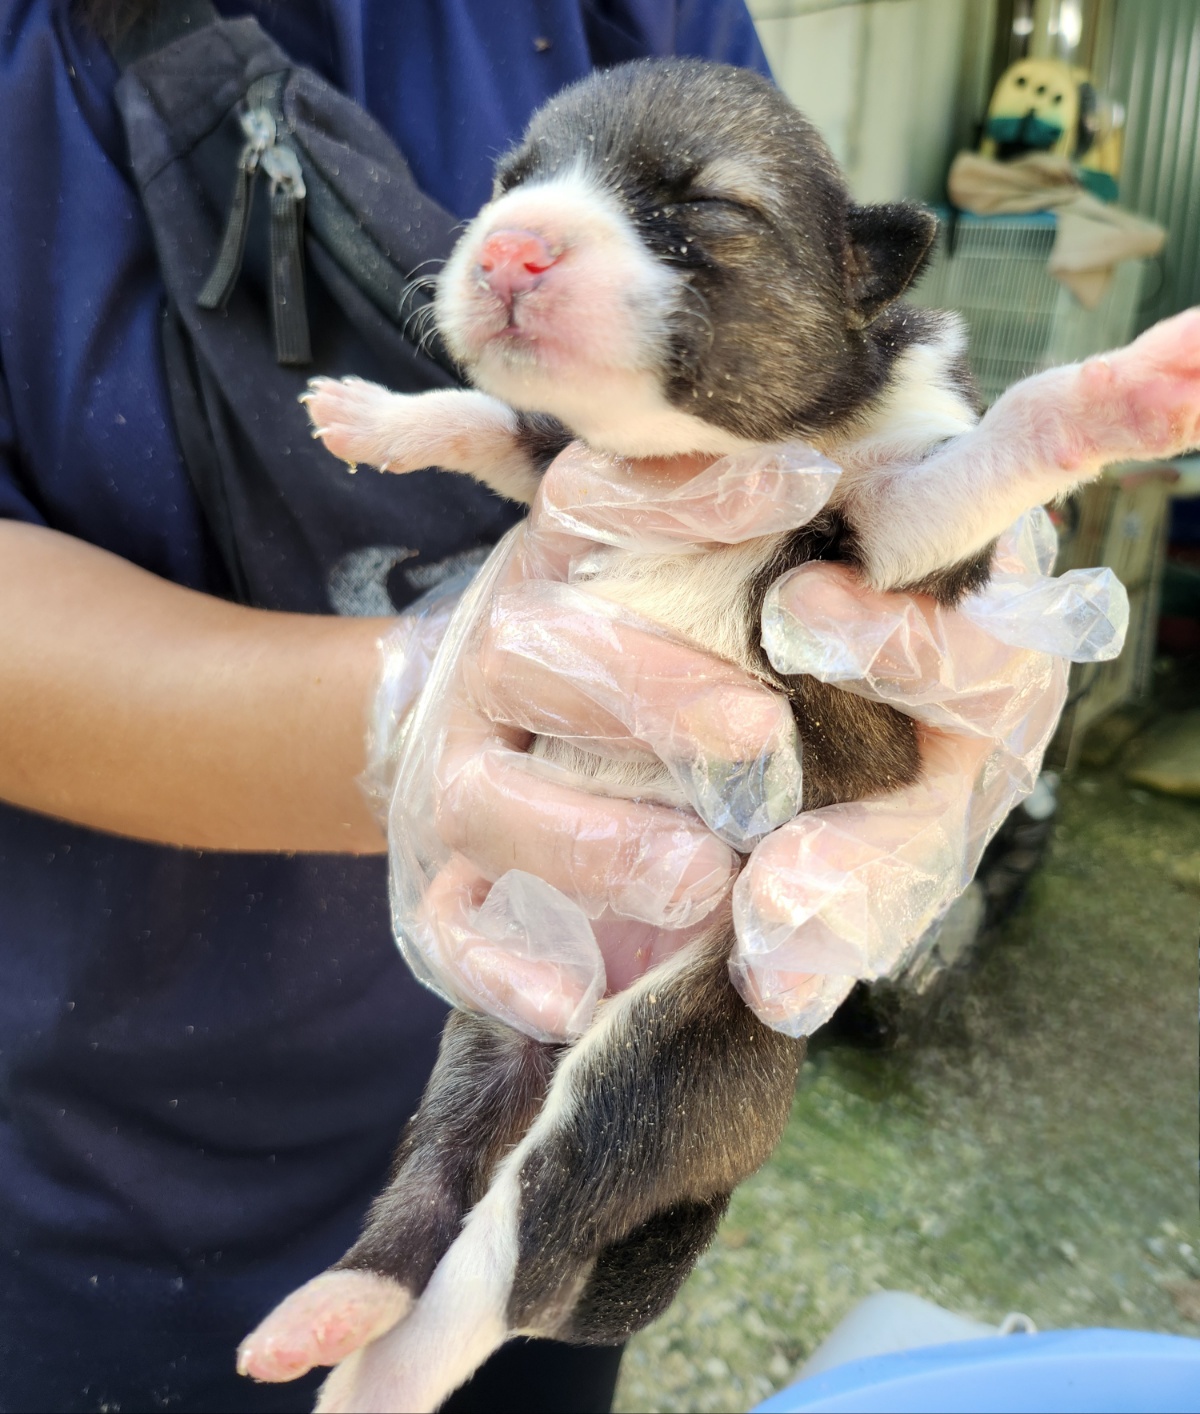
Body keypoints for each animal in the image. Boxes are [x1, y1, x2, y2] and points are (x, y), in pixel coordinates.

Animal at [238, 57, 1198, 1414]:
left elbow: (991, 452)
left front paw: (1127, 389)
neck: (706, 450)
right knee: (433, 1194)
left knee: (515, 1266)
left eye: (706, 213)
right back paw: (333, 1312)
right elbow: (514, 432)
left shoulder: (896, 542)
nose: (516, 246)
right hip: (491, 1026)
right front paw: (385, 413)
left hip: (655, 1068)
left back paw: (377, 1373)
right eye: (512, 182)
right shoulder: (574, 461)